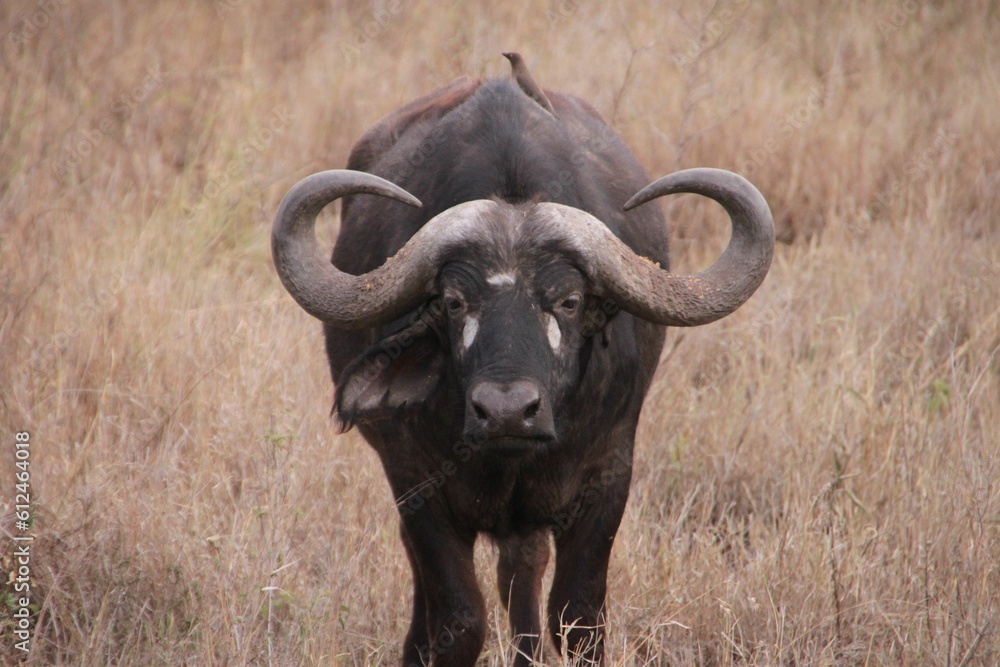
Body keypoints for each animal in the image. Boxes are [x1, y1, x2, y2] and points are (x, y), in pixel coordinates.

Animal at [272, 53, 773, 666]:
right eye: (453, 301)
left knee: (523, 577)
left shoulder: (608, 475)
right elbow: (459, 619)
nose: (508, 411)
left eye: (569, 300)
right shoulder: (414, 482)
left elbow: (578, 619)